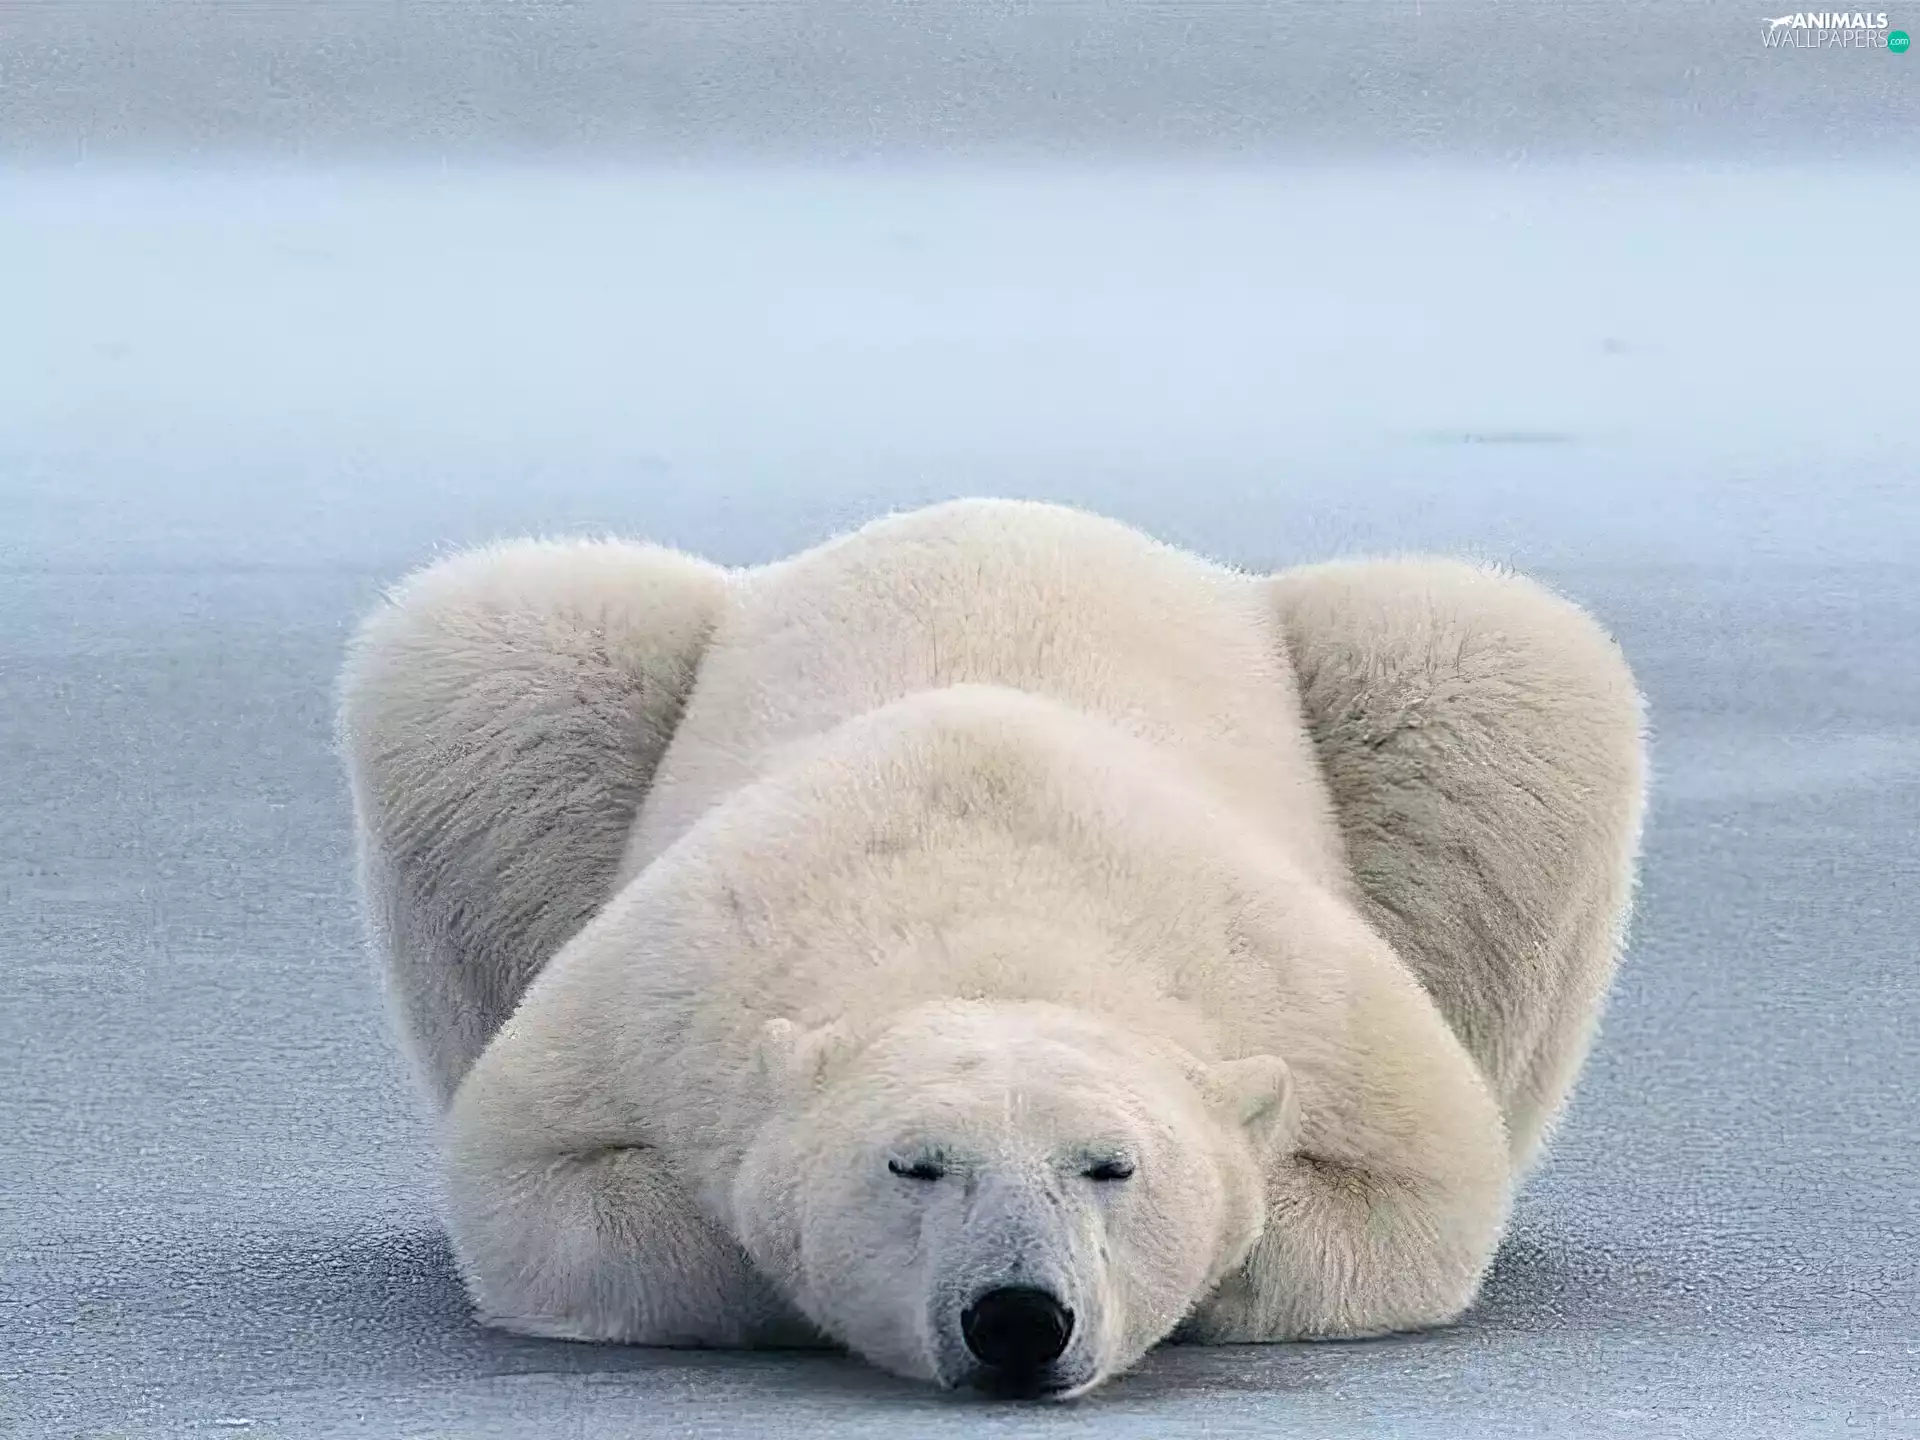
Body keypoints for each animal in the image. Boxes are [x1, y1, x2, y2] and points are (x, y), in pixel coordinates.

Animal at [337, 498, 1645, 1398]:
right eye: (915, 1164)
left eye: (1111, 1165)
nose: (1018, 1318)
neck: (1000, 919)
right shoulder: (664, 996)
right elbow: (542, 1187)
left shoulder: (1310, 1005)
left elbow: (1412, 1198)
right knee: (495, 650)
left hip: (1429, 689)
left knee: (1494, 665)